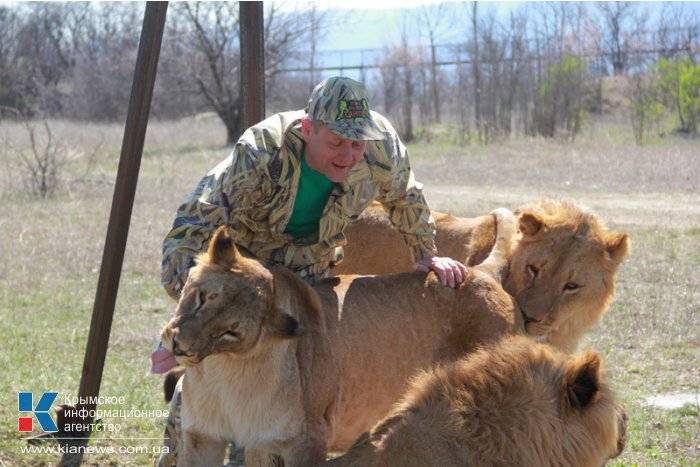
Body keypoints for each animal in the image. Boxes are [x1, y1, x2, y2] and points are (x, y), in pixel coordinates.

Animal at [160, 211, 520, 467]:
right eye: (202, 297)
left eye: (230, 332)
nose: (179, 345)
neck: (223, 371)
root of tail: (480, 272)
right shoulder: (207, 438)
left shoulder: (308, 440)